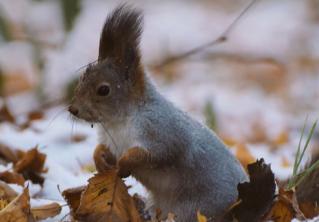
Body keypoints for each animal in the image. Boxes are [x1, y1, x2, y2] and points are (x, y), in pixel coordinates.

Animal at [69, 3, 249, 222]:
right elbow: (103, 150)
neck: (119, 121)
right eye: (82, 78)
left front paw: (124, 163)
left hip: (193, 209)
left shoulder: (161, 131)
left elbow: (154, 154)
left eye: (104, 89)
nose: (73, 109)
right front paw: (100, 160)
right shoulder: (112, 141)